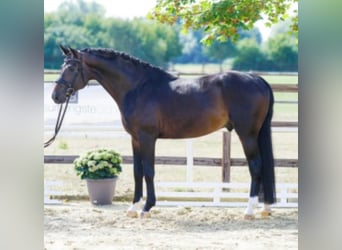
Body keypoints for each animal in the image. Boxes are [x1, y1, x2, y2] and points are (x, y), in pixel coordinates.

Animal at [52, 46, 276, 219]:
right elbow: (137, 172)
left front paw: (146, 208)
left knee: (256, 166)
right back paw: (264, 208)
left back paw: (249, 210)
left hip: (247, 134)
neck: (138, 87)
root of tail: (255, 78)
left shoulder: (147, 137)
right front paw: (133, 207)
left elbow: (149, 171)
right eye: (62, 66)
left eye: (71, 67)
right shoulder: (135, 139)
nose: (56, 96)